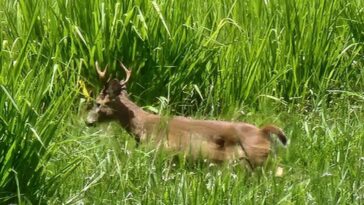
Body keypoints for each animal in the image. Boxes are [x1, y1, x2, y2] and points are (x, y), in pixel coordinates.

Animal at [86, 61, 288, 169]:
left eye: (98, 103)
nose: (88, 121)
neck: (142, 127)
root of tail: (263, 132)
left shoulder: (164, 153)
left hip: (254, 161)